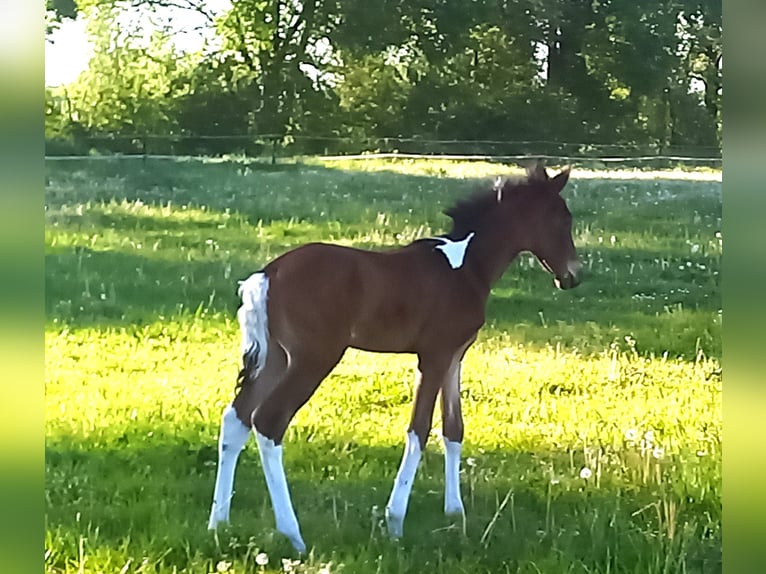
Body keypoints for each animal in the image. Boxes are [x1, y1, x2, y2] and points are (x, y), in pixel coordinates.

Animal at [207, 162, 582, 552]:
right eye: (561, 219)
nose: (573, 275)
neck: (467, 267)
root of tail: (268, 275)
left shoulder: (455, 356)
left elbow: (454, 429)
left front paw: (456, 514)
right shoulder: (433, 357)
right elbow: (419, 429)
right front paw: (395, 521)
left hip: (276, 358)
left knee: (236, 419)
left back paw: (219, 523)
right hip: (313, 359)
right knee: (268, 422)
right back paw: (293, 535)